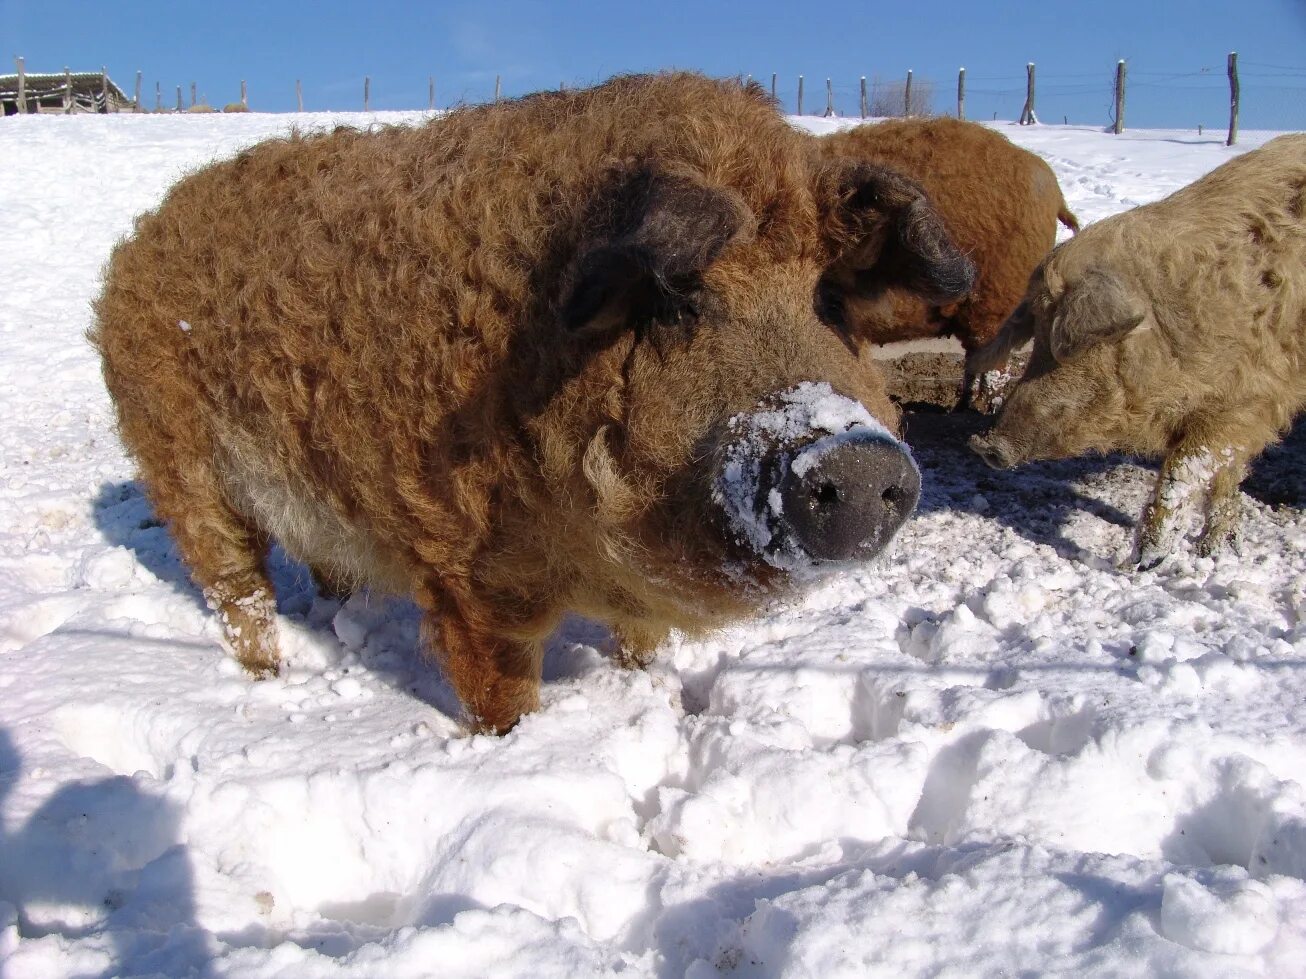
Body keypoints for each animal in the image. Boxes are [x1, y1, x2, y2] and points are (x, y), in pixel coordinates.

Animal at [971, 134, 1306, 571]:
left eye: (1073, 345)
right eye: (1037, 335)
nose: (984, 445)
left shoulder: (1252, 397)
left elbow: (1186, 470)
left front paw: (1140, 563)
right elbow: (1223, 476)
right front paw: (1215, 552)